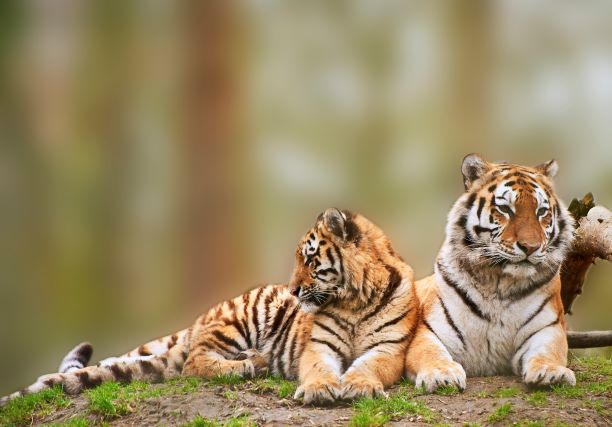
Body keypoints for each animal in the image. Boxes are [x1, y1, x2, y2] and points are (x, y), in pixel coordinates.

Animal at [0, 209, 418, 406]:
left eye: (310, 260)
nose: (293, 289)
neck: (355, 299)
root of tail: (200, 318)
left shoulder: (389, 349)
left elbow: (369, 367)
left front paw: (359, 386)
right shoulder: (319, 347)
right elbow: (317, 368)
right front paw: (319, 389)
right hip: (241, 317)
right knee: (193, 362)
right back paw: (251, 363)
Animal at [406, 155, 572, 394]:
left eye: (541, 211)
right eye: (505, 209)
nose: (530, 247)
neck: (498, 283)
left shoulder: (548, 328)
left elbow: (548, 352)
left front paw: (551, 372)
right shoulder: (430, 331)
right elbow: (431, 354)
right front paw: (441, 375)